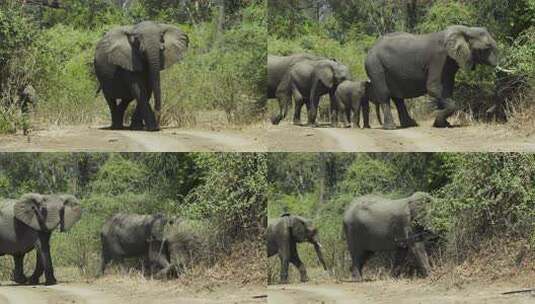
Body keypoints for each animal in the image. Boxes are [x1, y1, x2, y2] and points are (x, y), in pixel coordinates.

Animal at [366, 25, 500, 129]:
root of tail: (371, 48)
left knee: (398, 98)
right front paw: (439, 122)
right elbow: (434, 88)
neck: (465, 30)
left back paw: (411, 124)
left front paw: (444, 124)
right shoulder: (438, 58)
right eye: (486, 48)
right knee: (385, 95)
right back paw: (390, 127)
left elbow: (447, 89)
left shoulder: (450, 62)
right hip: (375, 66)